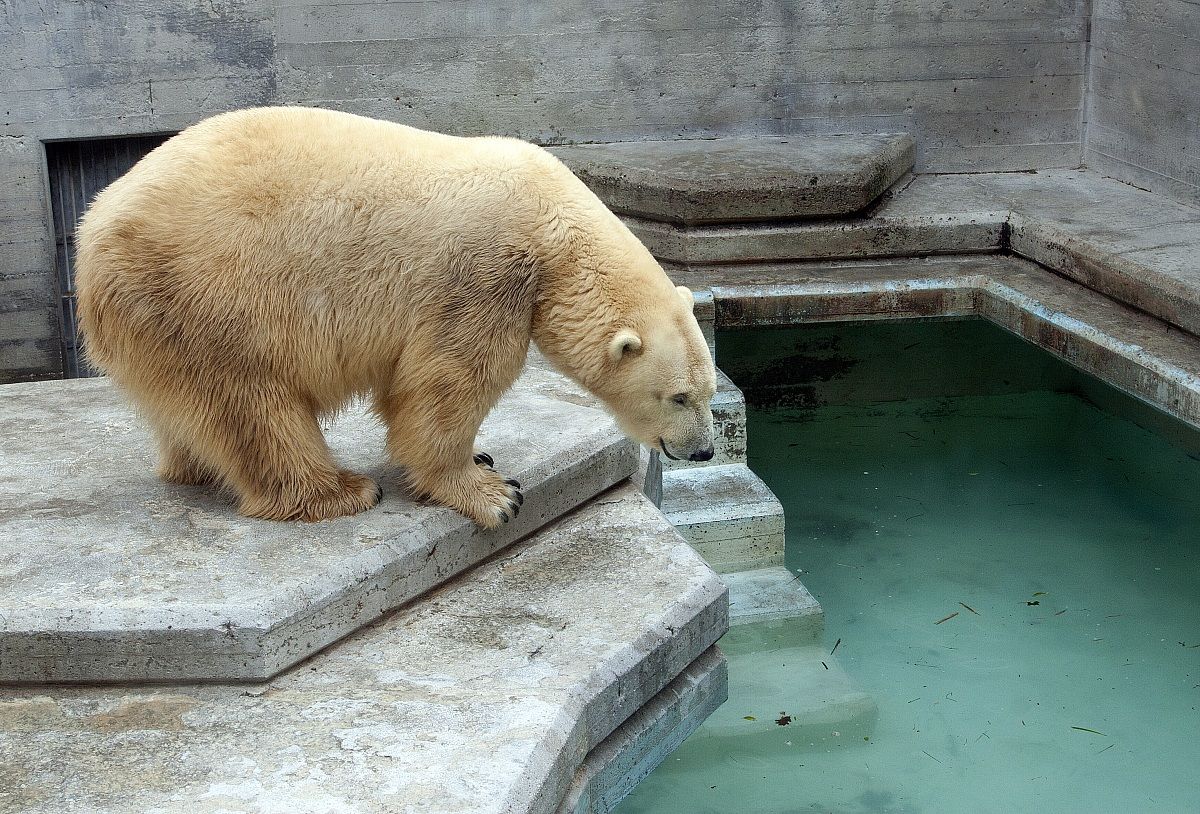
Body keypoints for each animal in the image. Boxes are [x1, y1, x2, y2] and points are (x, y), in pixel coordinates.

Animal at [75, 106, 716, 528]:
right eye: (678, 397)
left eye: (708, 392)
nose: (704, 451)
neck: (553, 225)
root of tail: (89, 235)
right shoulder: (484, 274)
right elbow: (446, 382)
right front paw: (492, 492)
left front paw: (482, 458)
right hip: (205, 293)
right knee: (252, 399)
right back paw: (340, 491)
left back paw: (195, 467)